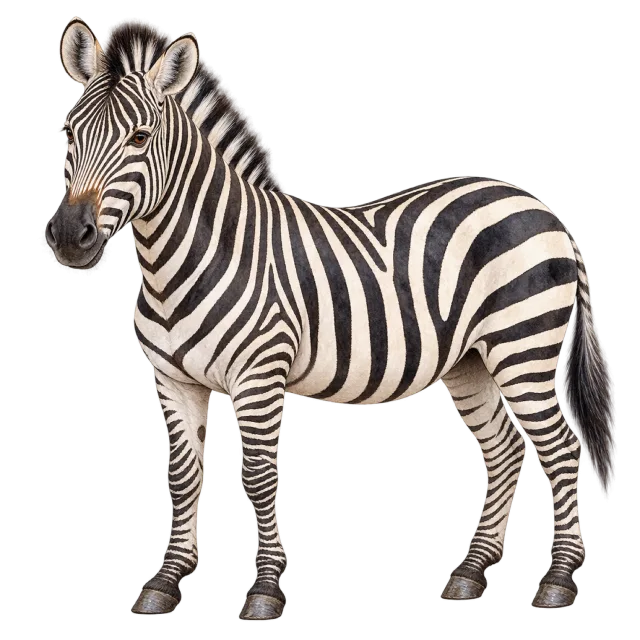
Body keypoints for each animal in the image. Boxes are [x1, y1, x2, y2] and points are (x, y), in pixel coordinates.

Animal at [47, 17, 616, 618]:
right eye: (69, 135)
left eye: (139, 138)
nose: (69, 236)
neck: (190, 258)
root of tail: (541, 208)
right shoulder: (173, 381)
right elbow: (183, 478)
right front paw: (166, 583)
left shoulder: (259, 376)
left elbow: (259, 478)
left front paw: (266, 591)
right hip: (472, 362)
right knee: (503, 450)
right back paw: (471, 574)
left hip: (521, 349)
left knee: (561, 450)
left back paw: (559, 581)